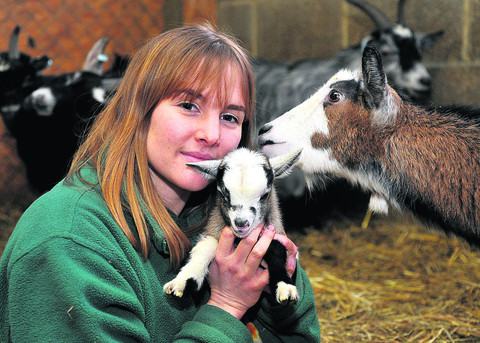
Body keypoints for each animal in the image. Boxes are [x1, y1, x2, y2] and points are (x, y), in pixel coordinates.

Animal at [164, 149, 300, 306]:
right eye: (224, 194)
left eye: (264, 195)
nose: (241, 223)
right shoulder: (215, 229)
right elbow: (205, 246)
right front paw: (183, 282)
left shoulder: (274, 232)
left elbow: (277, 250)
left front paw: (285, 287)